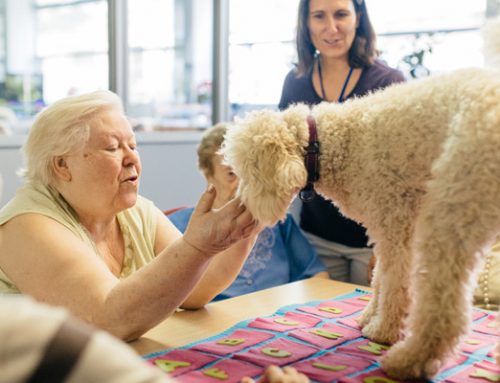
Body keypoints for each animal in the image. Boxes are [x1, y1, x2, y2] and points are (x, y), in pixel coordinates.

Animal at [223, 24, 500, 380]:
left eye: (246, 170)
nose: (242, 207)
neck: (326, 143)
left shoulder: (395, 225)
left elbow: (394, 282)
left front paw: (383, 330)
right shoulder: (389, 229)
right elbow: (380, 278)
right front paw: (371, 317)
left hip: (453, 212)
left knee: (445, 307)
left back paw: (407, 360)